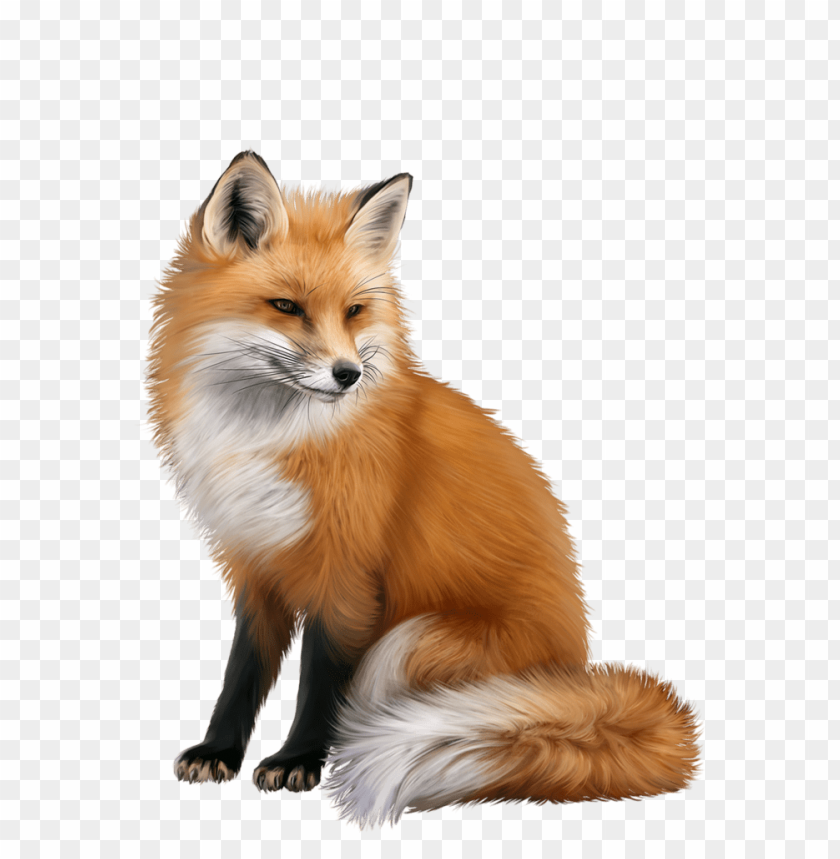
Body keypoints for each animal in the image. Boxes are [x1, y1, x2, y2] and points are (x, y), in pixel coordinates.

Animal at [147, 151, 699, 827]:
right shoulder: (255, 563)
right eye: (286, 306)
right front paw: (218, 751)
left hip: (408, 640)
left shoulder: (348, 574)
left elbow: (318, 680)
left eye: (354, 311)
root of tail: (572, 668)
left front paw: (299, 760)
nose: (348, 374)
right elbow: (242, 672)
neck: (272, 437)